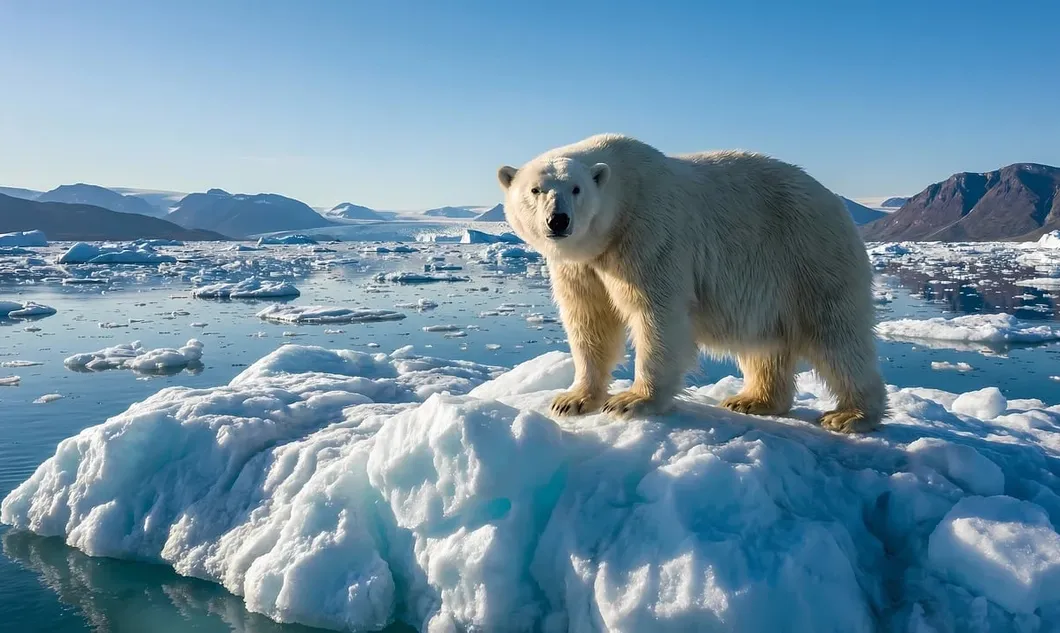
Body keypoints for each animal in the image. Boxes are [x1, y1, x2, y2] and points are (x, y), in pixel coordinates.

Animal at [496, 133, 887, 433]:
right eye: (535, 190)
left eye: (576, 189)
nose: (558, 220)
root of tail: (838, 204)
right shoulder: (581, 265)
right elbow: (589, 320)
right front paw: (572, 400)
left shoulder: (649, 233)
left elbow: (657, 315)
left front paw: (632, 400)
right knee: (765, 346)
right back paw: (751, 400)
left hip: (809, 256)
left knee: (838, 337)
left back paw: (850, 415)